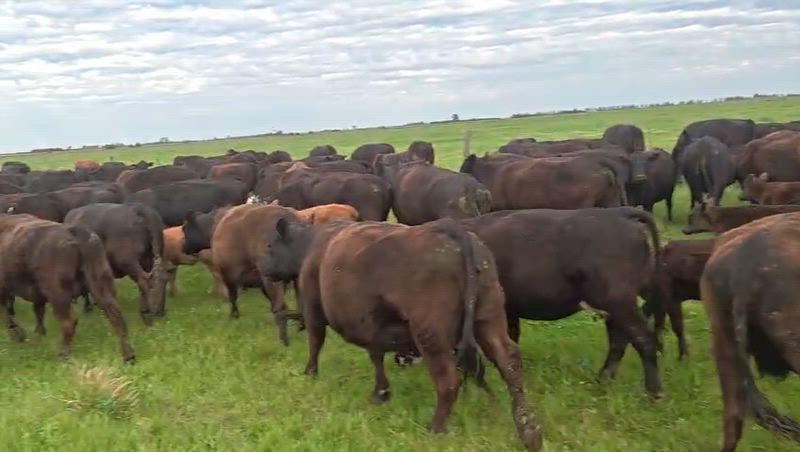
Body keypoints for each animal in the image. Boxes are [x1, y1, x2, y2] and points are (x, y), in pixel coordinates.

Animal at [0, 214, 135, 362]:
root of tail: (75, 232)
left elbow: (6, 312)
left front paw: (18, 333)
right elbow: (37, 310)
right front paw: (38, 332)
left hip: (59, 294)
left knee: (69, 322)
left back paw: (64, 354)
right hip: (101, 283)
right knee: (116, 316)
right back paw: (129, 356)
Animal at [261, 217, 543, 451]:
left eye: (271, 244)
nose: (262, 267)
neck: (313, 243)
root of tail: (451, 228)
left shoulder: (313, 307)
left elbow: (315, 341)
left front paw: (310, 373)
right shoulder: (373, 325)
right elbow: (375, 355)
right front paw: (381, 393)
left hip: (430, 333)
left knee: (448, 379)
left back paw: (435, 429)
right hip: (489, 318)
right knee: (510, 364)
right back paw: (528, 430)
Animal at [460, 207, 663, 396]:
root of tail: (620, 213)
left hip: (618, 302)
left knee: (644, 340)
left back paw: (653, 393)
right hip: (614, 308)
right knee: (619, 342)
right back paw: (602, 382)